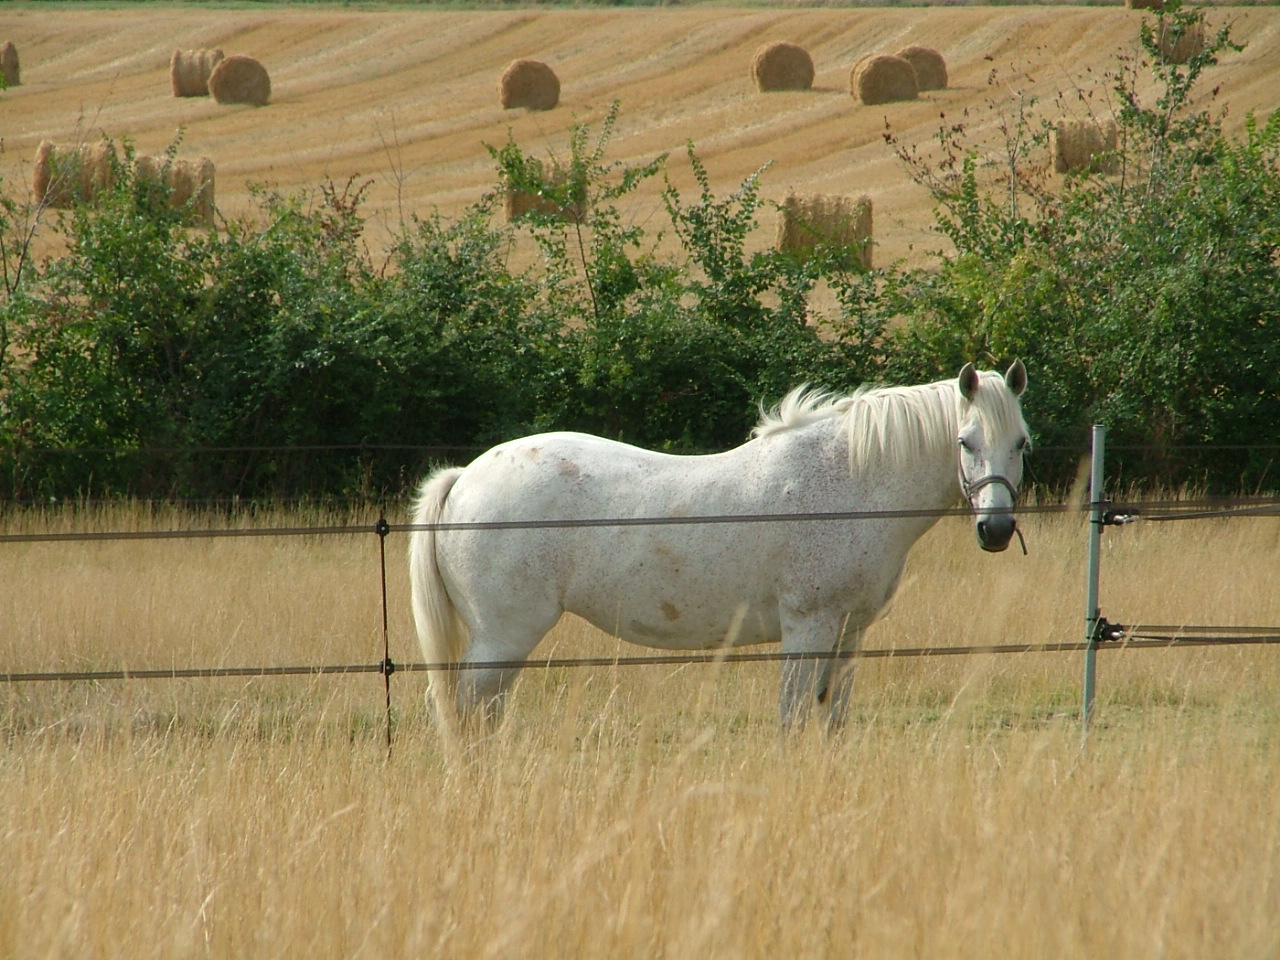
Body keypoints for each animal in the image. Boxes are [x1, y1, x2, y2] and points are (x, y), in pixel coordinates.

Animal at [409, 363, 1029, 732]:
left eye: (1022, 442)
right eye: (965, 442)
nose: (997, 530)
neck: (849, 481)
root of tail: (465, 478)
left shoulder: (849, 633)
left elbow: (831, 717)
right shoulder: (808, 627)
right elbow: (794, 717)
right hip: (503, 638)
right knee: (468, 716)